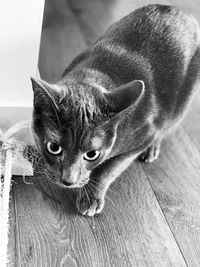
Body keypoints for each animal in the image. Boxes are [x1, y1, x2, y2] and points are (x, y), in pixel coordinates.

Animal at [30, 4, 200, 218]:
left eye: (92, 154)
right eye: (54, 147)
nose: (68, 180)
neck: (94, 76)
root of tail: (178, 10)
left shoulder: (143, 135)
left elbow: (109, 169)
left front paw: (91, 197)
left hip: (182, 102)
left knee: (167, 125)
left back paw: (152, 149)